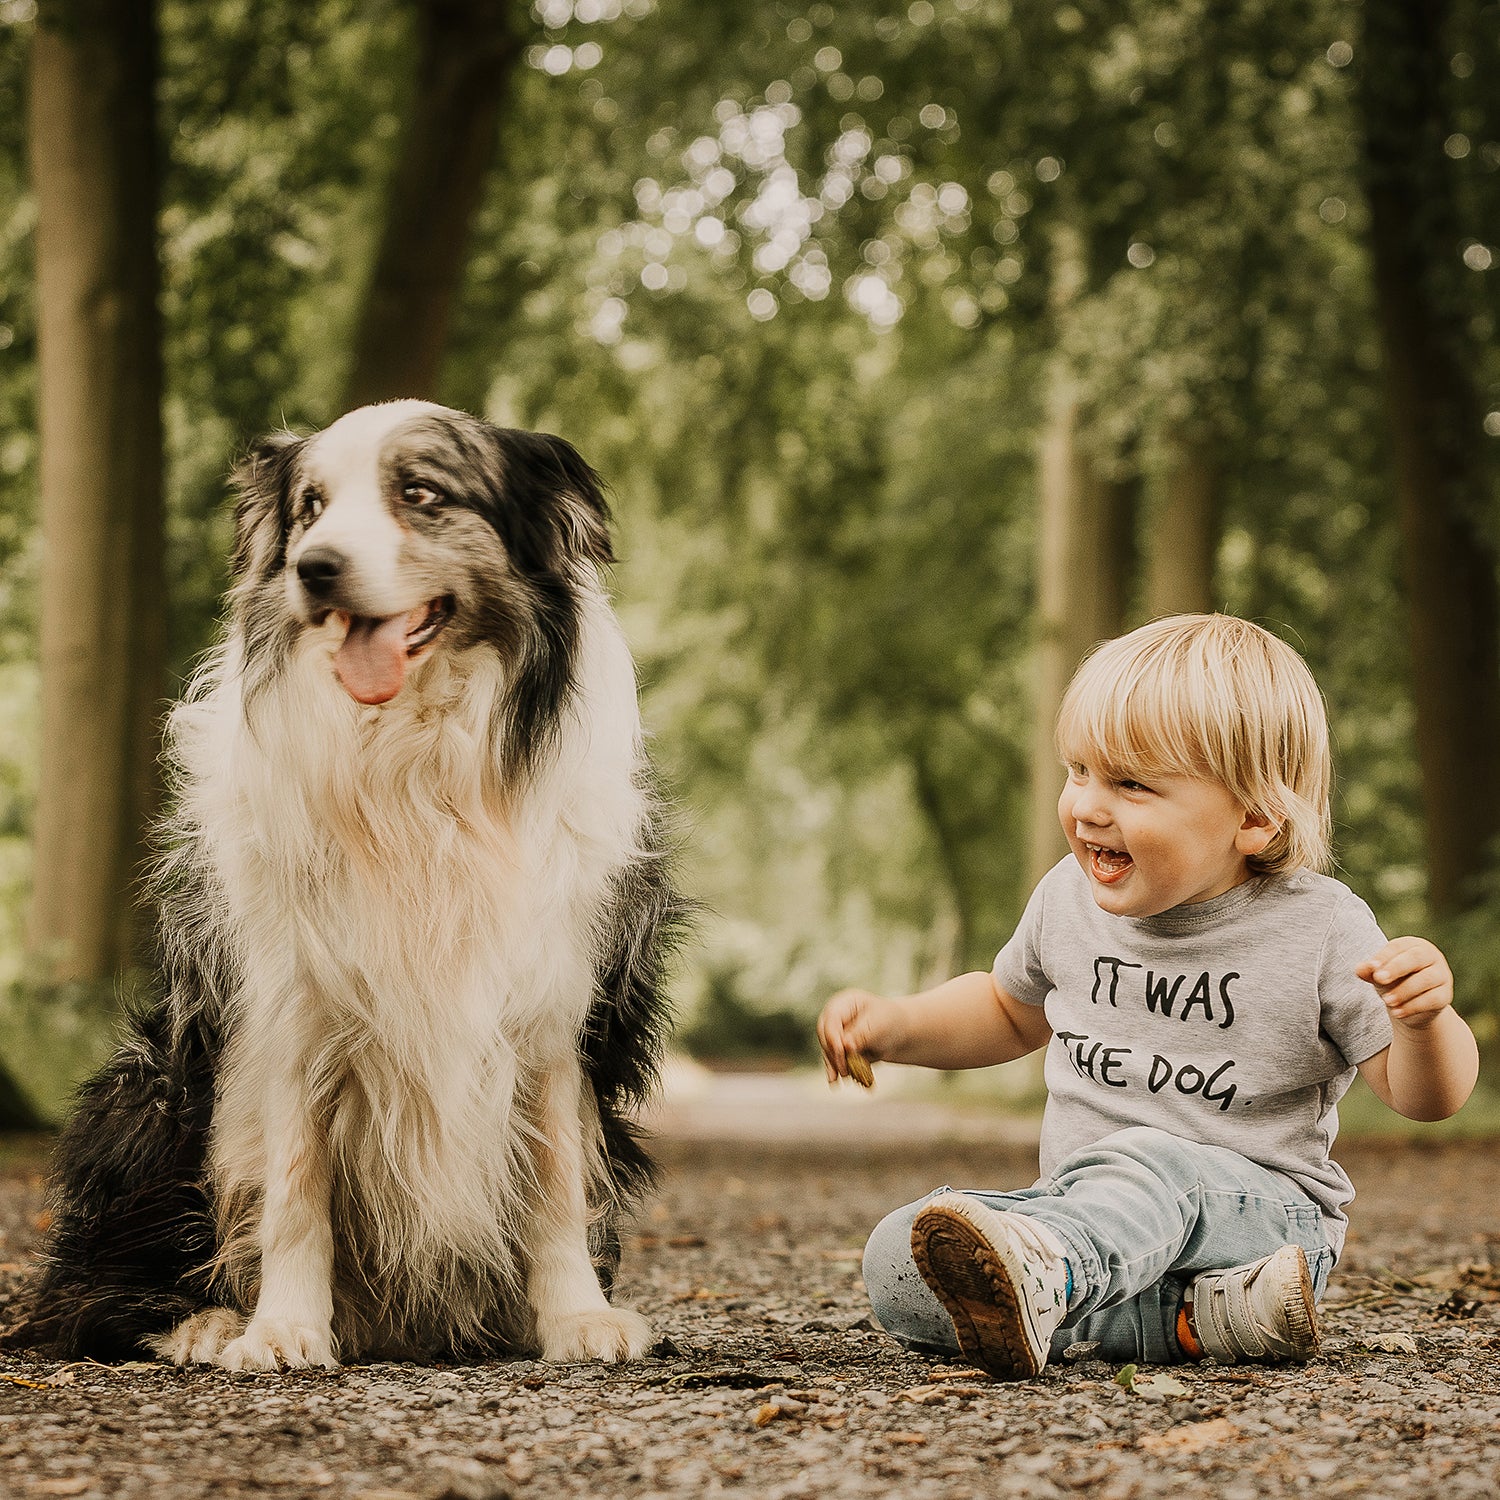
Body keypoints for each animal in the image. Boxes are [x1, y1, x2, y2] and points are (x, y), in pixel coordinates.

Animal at [5, 399, 684, 1374]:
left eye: (422, 494)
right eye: (312, 507)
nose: (314, 568)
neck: (413, 759)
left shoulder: (556, 1003)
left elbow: (555, 1178)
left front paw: (575, 1318)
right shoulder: (292, 1001)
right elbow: (295, 1191)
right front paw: (283, 1328)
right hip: (147, 1087)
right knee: (86, 1294)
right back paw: (205, 1319)